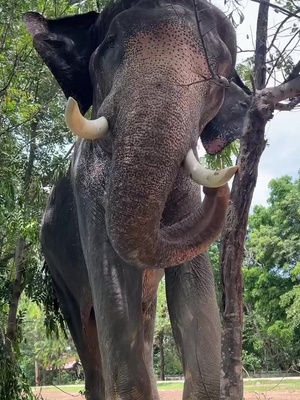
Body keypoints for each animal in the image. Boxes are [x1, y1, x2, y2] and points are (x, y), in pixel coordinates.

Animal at [23, 0, 250, 400]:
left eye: (220, 77)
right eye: (112, 43)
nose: (224, 181)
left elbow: (192, 286)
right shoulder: (88, 187)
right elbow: (112, 284)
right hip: (57, 273)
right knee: (88, 336)